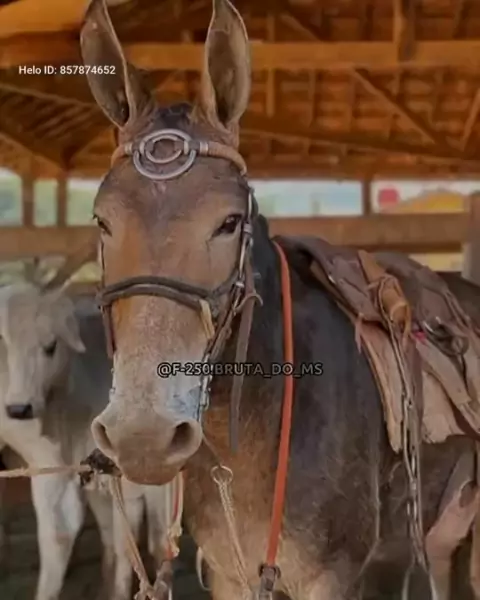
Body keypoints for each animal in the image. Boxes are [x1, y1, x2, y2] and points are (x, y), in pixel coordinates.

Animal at [0, 282, 174, 600]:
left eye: (51, 346)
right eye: (3, 344)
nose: (19, 409)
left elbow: (138, 548)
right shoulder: (58, 474)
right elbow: (67, 538)